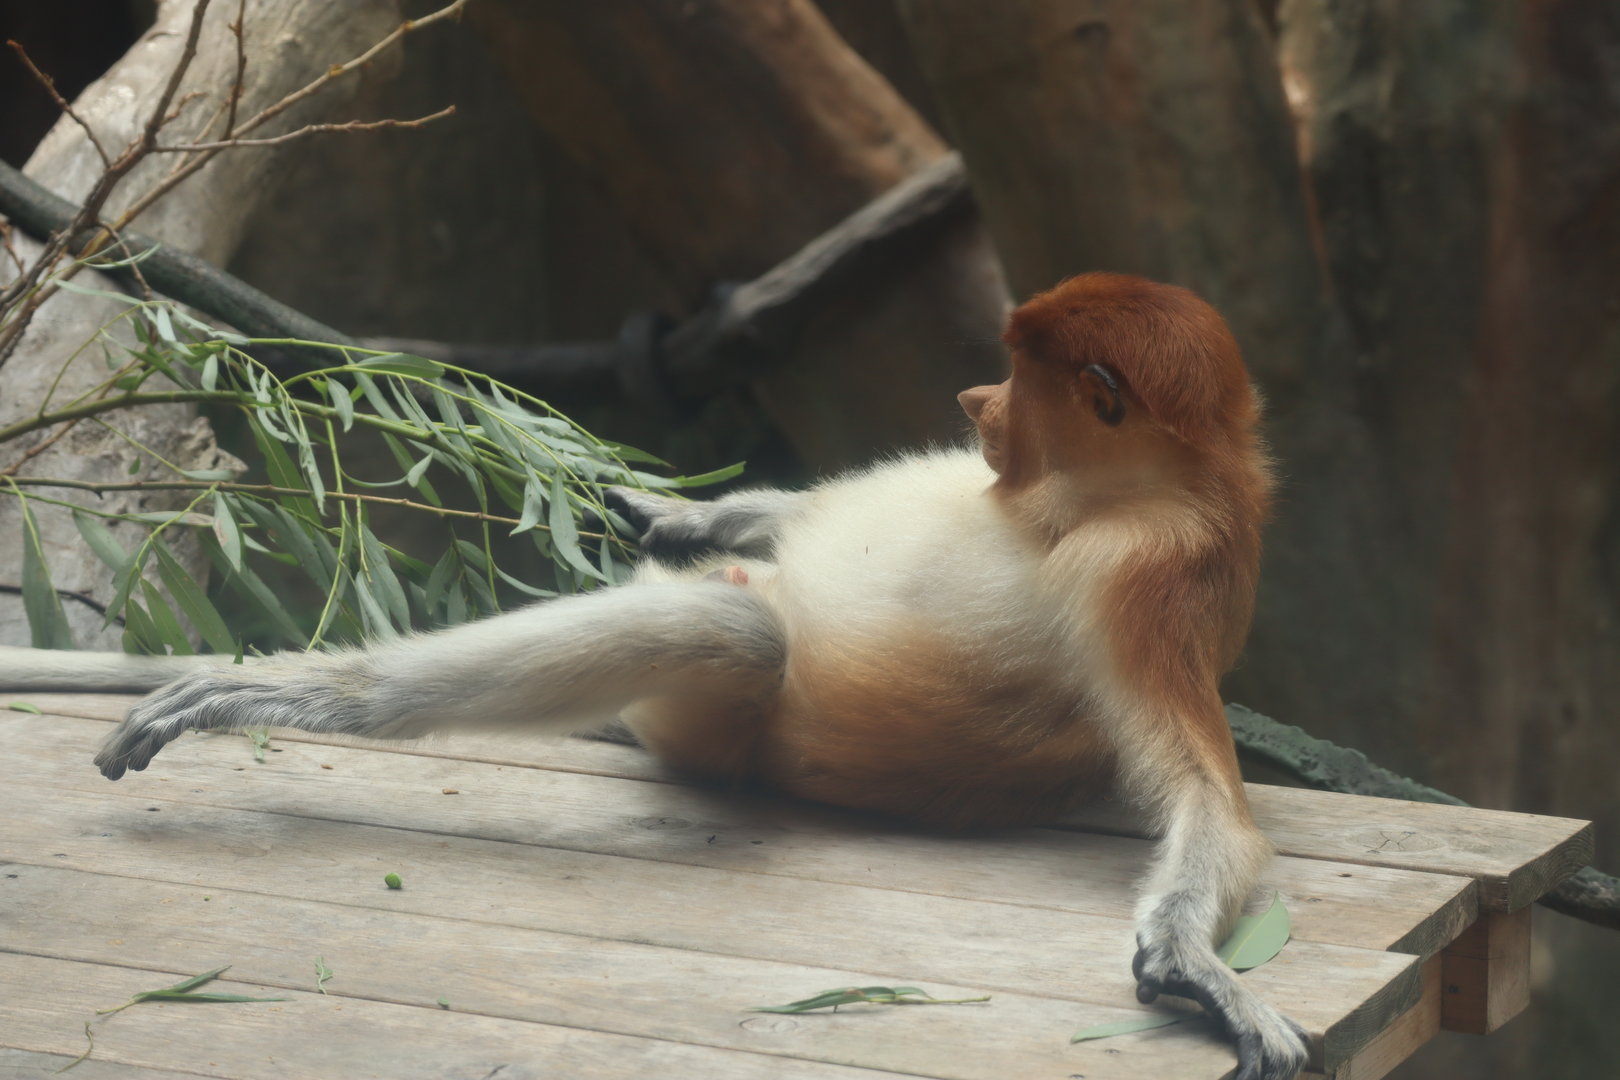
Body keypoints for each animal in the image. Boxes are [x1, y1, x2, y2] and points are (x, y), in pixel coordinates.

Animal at [0, 273, 1307, 1080]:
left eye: (1022, 382)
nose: (975, 400)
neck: (1114, 492)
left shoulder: (1152, 576)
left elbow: (1206, 799)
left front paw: (1199, 970)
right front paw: (671, 506)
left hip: (708, 720)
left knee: (734, 638)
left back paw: (325, 690)